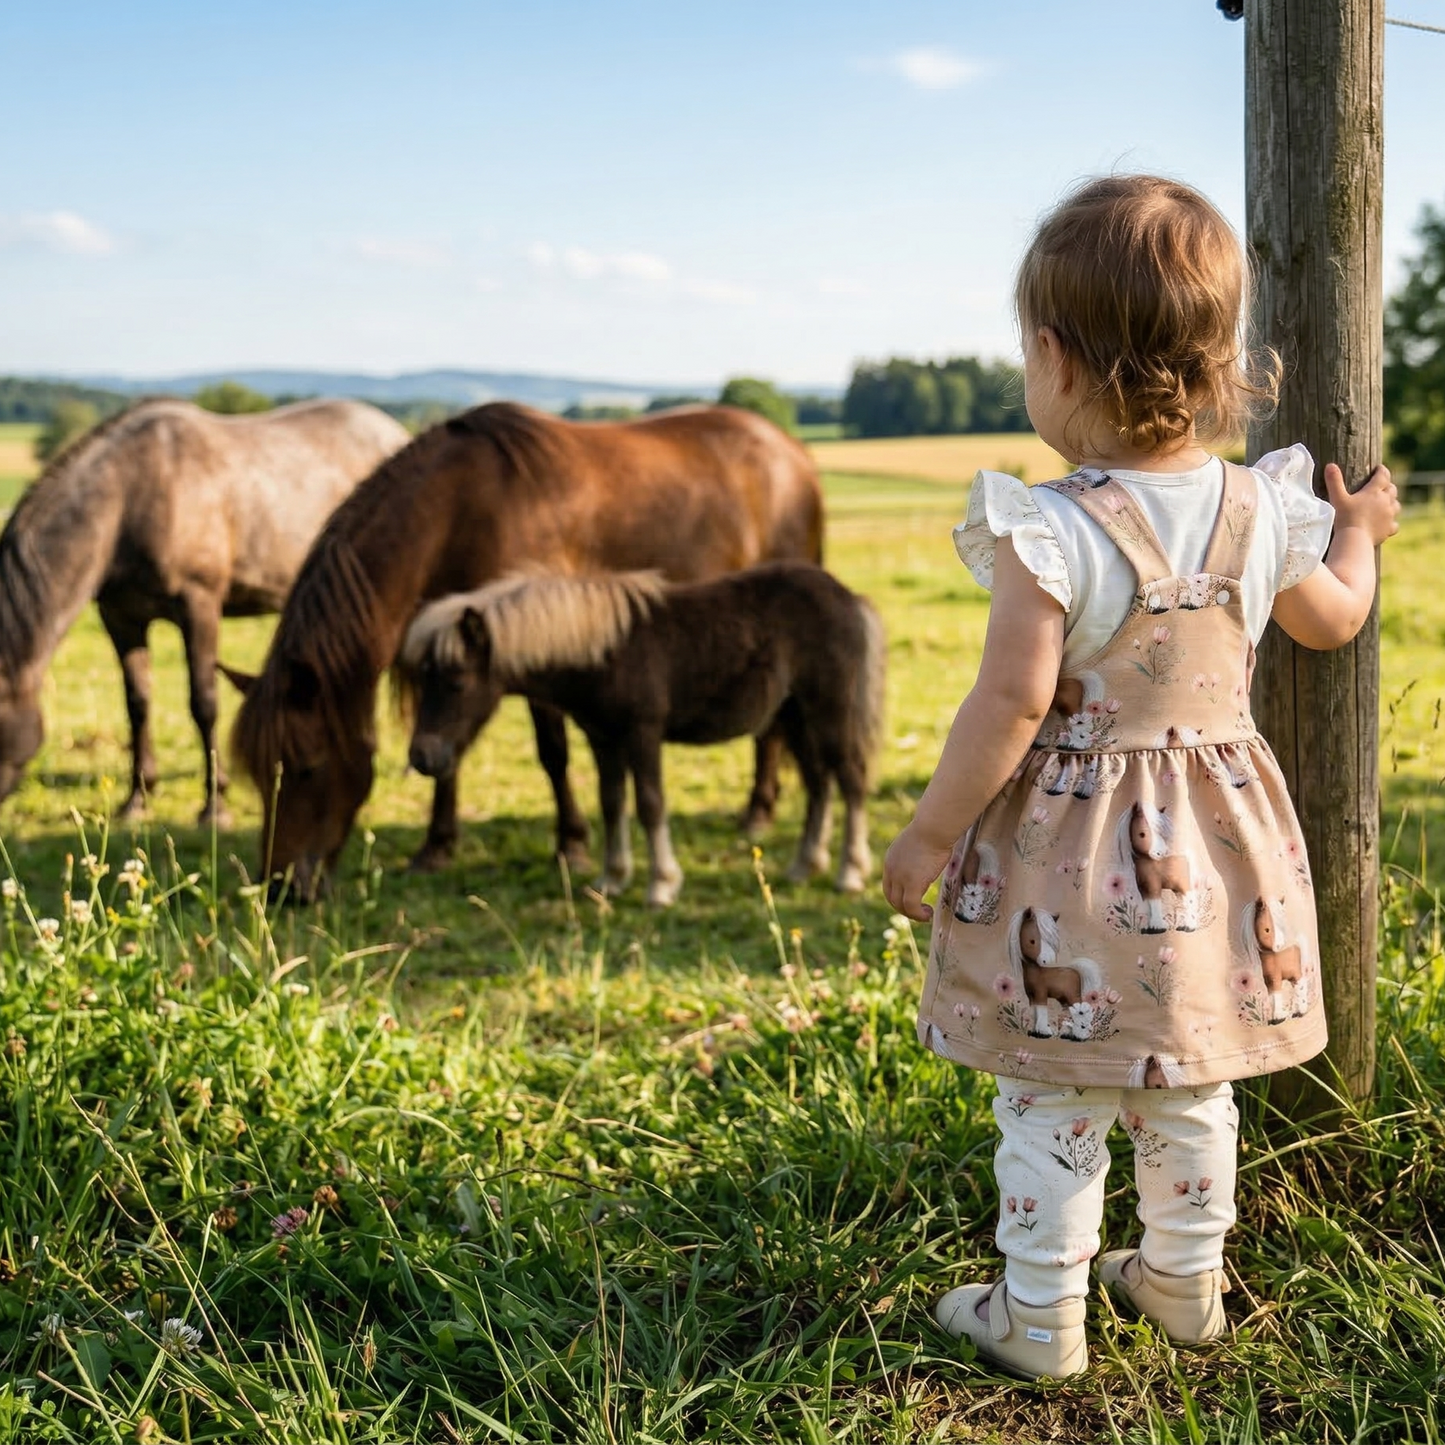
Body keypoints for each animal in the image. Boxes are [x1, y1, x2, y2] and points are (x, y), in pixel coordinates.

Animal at [0, 397, 408, 823]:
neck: (130, 499)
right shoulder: (121, 617)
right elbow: (137, 703)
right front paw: (138, 798)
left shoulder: (199, 606)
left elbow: (204, 702)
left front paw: (215, 803)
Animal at [230, 403, 823, 901]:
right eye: (257, 775)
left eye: (308, 768)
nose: (280, 888)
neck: (460, 510)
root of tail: (790, 450)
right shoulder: (442, 657)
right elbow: (443, 751)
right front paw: (436, 847)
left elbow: (552, 751)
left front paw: (572, 844)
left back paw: (758, 812)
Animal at [398, 562, 883, 907]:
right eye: (423, 677)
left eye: (456, 681)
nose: (423, 757)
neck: (606, 652)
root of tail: (849, 596)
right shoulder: (603, 739)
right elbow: (612, 802)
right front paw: (611, 880)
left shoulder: (642, 733)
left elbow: (650, 804)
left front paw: (662, 885)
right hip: (795, 716)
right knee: (819, 783)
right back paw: (805, 866)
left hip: (829, 710)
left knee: (851, 779)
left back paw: (850, 873)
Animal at [1006, 906, 1102, 1039]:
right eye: (1032, 941)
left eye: (1050, 942)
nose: (1048, 960)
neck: (1036, 974)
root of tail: (1076, 971)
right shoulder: (1031, 997)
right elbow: (1035, 1012)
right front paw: (1035, 1031)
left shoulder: (1041, 994)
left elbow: (1041, 1012)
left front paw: (1044, 1031)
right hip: (1064, 999)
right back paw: (1067, 1033)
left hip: (1073, 996)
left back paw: (1080, 1036)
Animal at [1115, 800, 1197, 933]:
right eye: (1142, 834)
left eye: (1160, 833)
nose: (1161, 852)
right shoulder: (1143, 889)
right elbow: (1147, 906)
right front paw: (1148, 927)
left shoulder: (1154, 886)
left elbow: (1155, 904)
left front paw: (1158, 926)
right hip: (1177, 888)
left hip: (1184, 885)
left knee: (1191, 901)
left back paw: (1190, 926)